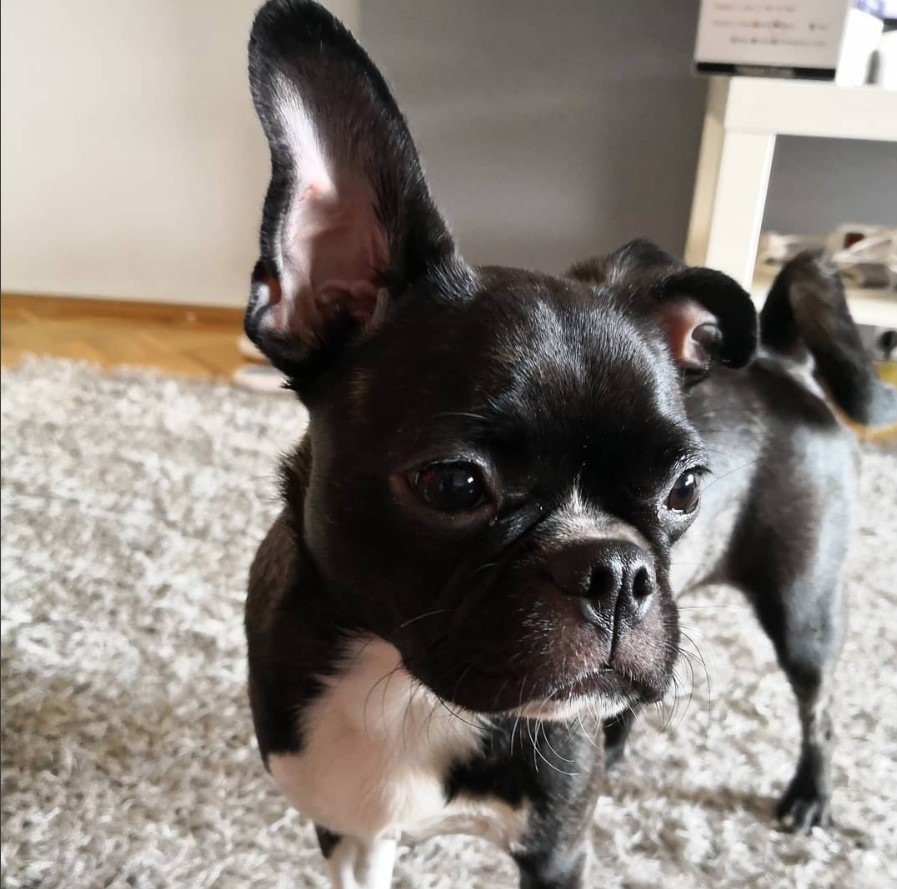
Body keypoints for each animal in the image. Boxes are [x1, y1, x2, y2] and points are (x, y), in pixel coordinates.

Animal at [240, 3, 896, 884]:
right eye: (453, 484)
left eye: (685, 488)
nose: (615, 569)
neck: (400, 684)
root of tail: (786, 360)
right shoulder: (349, 835)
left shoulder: (553, 848)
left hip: (802, 604)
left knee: (816, 701)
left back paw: (808, 794)